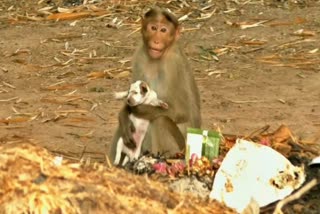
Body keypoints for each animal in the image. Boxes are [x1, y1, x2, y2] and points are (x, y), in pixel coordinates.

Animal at [107, 6, 200, 164]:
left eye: (163, 30)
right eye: (153, 28)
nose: (156, 40)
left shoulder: (173, 65)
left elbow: (181, 112)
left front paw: (137, 109)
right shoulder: (140, 55)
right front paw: (125, 113)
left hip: (181, 149)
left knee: (160, 120)